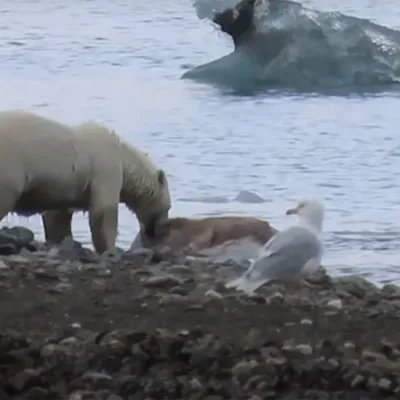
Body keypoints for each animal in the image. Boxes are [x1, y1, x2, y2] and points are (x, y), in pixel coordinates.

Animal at [0, 109, 170, 253]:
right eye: (168, 207)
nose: (157, 230)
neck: (124, 156)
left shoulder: (63, 189)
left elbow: (57, 217)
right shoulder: (106, 169)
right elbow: (103, 212)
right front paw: (109, 248)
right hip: (11, 165)